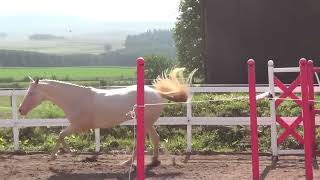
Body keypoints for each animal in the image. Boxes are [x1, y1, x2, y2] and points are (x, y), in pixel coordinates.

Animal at [19, 68, 195, 167]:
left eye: (31, 93)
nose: (21, 110)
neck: (75, 98)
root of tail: (158, 93)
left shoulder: (77, 125)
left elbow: (61, 135)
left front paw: (66, 153)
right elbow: (60, 136)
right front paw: (54, 156)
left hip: (143, 123)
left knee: (143, 142)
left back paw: (127, 163)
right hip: (148, 123)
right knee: (156, 138)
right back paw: (154, 161)